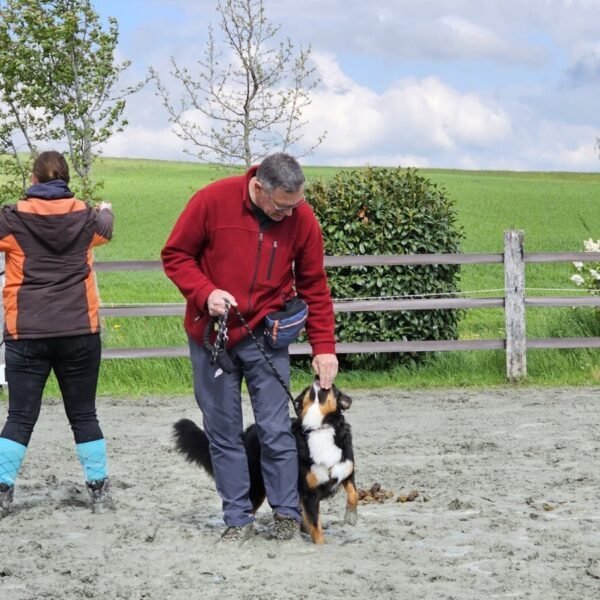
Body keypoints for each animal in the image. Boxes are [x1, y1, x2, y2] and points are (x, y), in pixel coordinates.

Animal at [173, 380, 356, 544]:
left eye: (333, 388)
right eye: (307, 389)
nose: (319, 377)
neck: (320, 428)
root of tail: (247, 432)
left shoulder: (346, 470)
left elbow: (353, 493)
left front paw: (351, 516)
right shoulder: (310, 492)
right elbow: (316, 527)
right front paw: (320, 546)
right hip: (257, 488)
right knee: (250, 510)